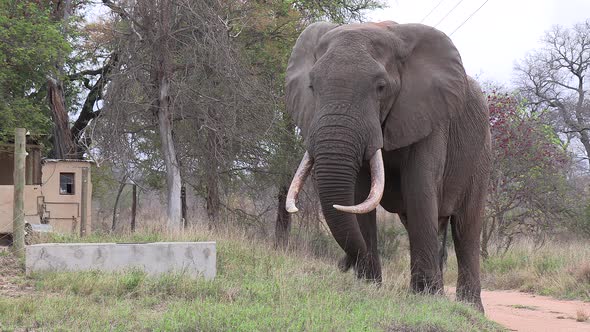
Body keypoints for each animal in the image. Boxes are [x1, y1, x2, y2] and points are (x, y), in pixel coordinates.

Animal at [284, 20, 492, 312]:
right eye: (312, 86)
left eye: (381, 87)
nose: (343, 264)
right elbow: (359, 195)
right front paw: (370, 286)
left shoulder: (430, 117)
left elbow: (419, 188)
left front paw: (426, 298)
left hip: (480, 155)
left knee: (466, 229)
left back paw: (470, 308)